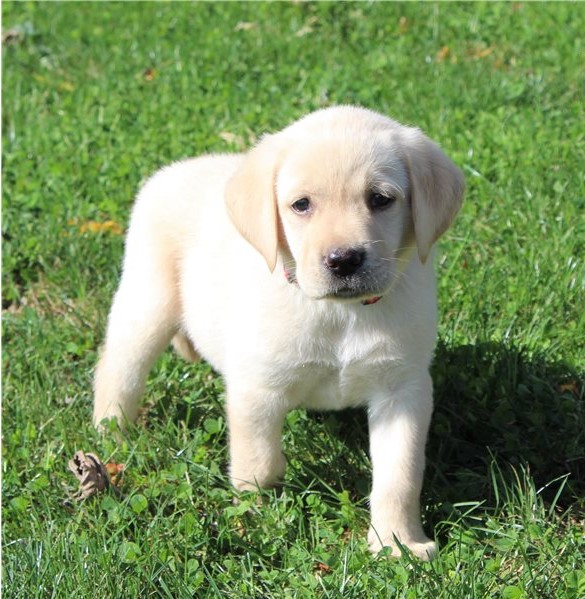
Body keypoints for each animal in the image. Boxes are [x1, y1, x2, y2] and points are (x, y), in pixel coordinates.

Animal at [93, 105, 464, 560]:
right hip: (147, 303)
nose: (344, 260)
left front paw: (398, 543)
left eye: (381, 199)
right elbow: (259, 464)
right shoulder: (258, 387)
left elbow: (400, 476)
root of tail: (172, 171)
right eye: (301, 205)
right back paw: (112, 432)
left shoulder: (403, 390)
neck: (340, 314)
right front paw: (253, 519)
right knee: (118, 367)